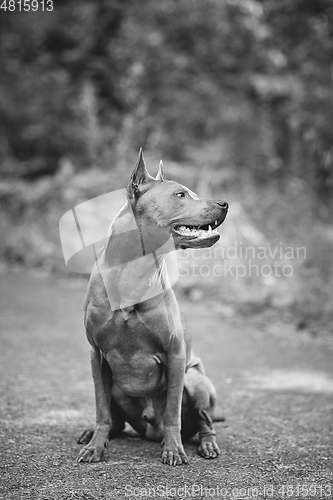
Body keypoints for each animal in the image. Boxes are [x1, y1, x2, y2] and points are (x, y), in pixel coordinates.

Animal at [77, 148, 228, 464]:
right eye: (180, 194)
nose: (224, 203)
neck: (133, 272)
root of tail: (148, 431)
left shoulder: (175, 355)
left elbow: (172, 412)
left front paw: (173, 449)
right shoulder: (96, 356)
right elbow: (101, 410)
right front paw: (96, 446)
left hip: (196, 379)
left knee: (205, 422)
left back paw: (206, 444)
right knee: (115, 422)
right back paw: (92, 433)